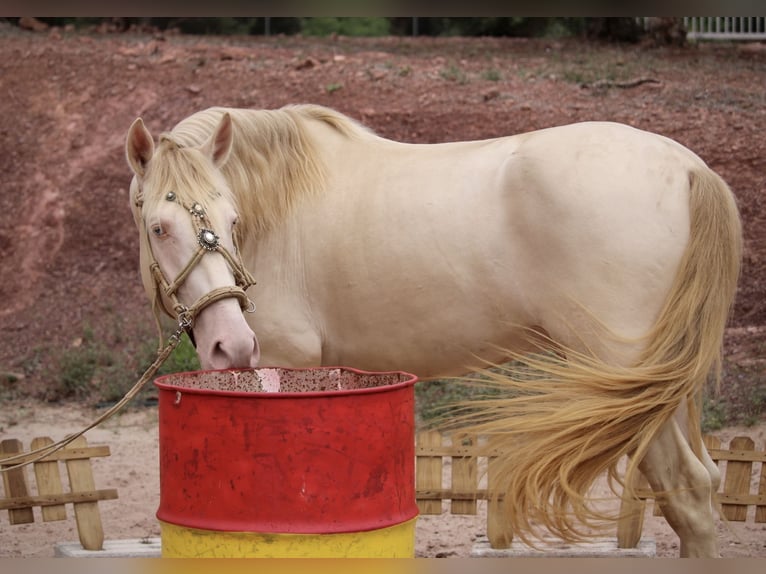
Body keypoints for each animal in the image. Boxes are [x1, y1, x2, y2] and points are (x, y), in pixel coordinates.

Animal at [126, 103, 744, 560]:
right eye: (159, 226)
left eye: (232, 220)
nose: (230, 344)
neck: (281, 206)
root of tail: (688, 168)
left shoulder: (285, 365)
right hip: (658, 389)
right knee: (705, 485)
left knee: (688, 491)